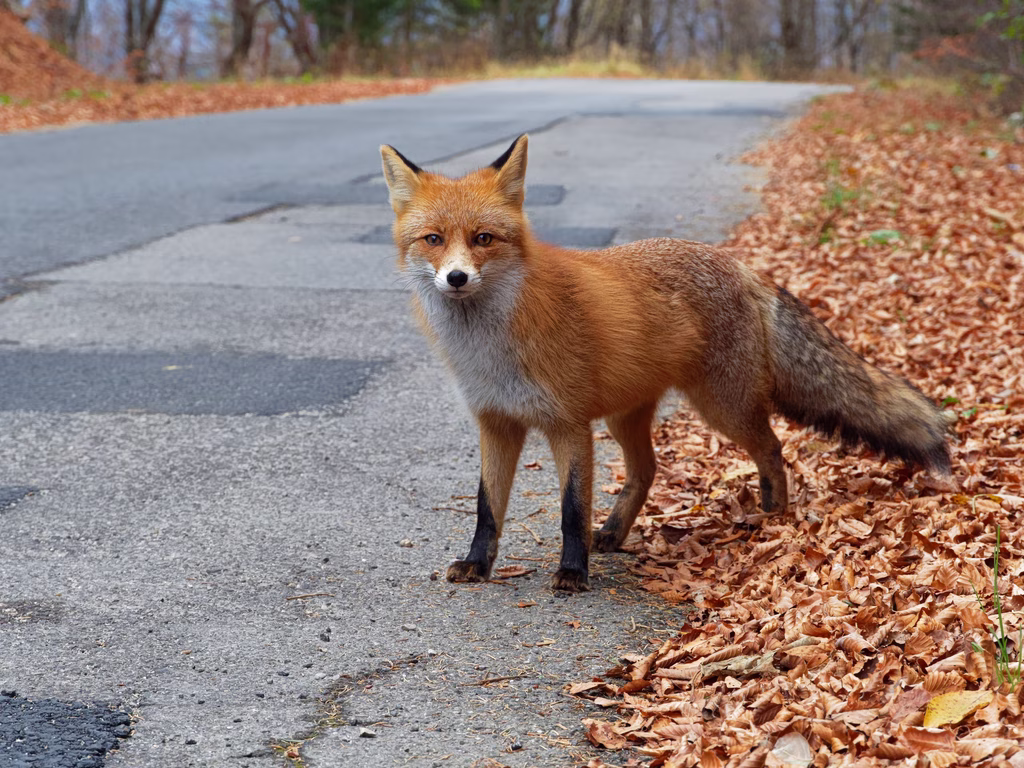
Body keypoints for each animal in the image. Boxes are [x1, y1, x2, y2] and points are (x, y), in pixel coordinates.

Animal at [379, 134, 952, 593]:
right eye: (433, 240)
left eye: (483, 238)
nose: (456, 278)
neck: (490, 350)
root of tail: (741, 266)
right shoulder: (497, 423)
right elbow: (486, 508)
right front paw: (478, 565)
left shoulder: (568, 425)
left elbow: (570, 509)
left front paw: (572, 572)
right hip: (625, 416)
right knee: (648, 470)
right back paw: (613, 533)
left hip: (721, 407)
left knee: (772, 447)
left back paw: (773, 513)